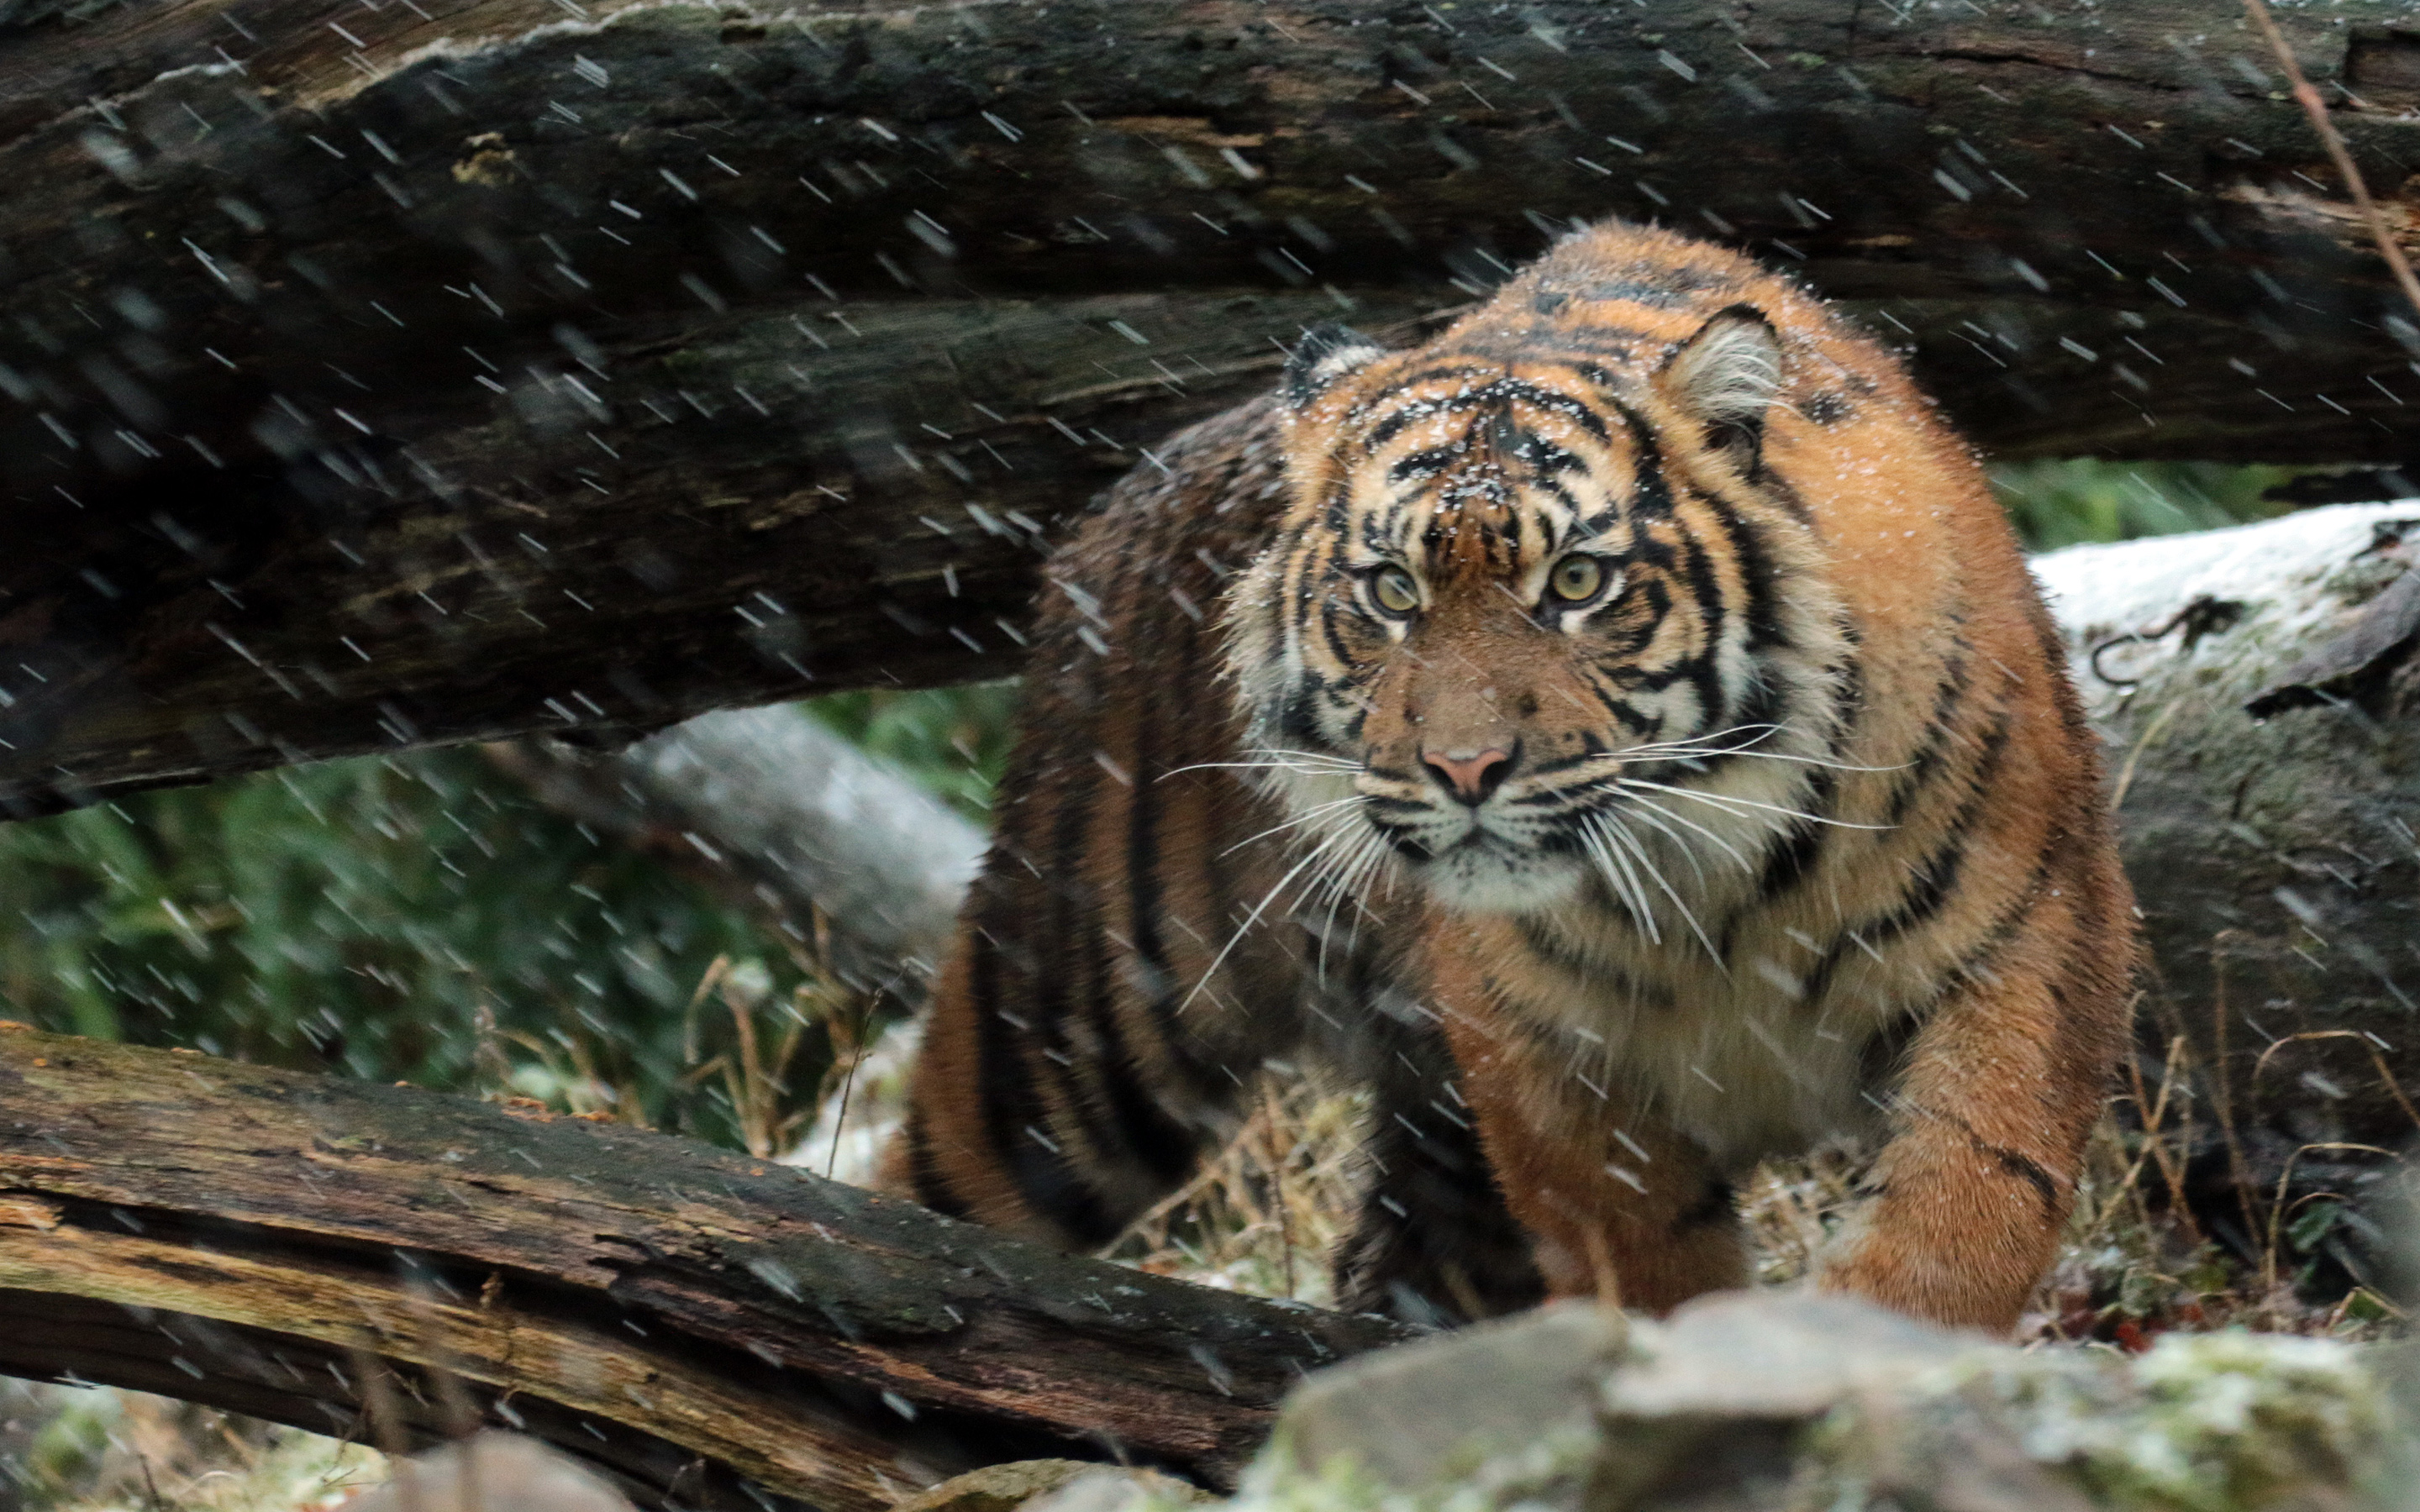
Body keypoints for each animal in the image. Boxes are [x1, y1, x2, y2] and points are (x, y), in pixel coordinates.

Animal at [878, 218, 2136, 1335]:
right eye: (1391, 593)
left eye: (1577, 582)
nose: (1465, 766)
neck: (1712, 885)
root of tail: (1111, 503)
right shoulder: (1536, 1051)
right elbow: (1644, 1253)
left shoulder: (2030, 939)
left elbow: (1964, 1215)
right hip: (1076, 1025)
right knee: (925, 1197)